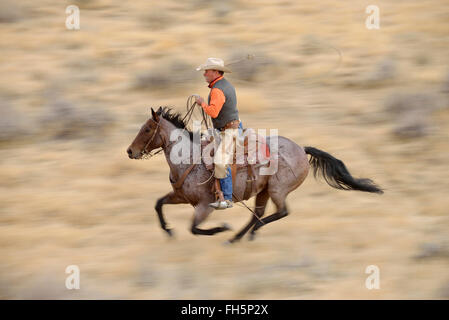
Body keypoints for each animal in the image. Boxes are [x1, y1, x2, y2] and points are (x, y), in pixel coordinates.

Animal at [125, 107, 382, 242]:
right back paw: (237, 238)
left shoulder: (205, 206)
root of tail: (301, 148)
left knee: (280, 212)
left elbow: (194, 228)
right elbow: (158, 204)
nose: (130, 151)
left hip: (278, 190)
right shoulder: (180, 197)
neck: (190, 160)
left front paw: (222, 228)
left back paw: (247, 234)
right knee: (258, 214)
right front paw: (168, 230)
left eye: (147, 129)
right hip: (264, 191)